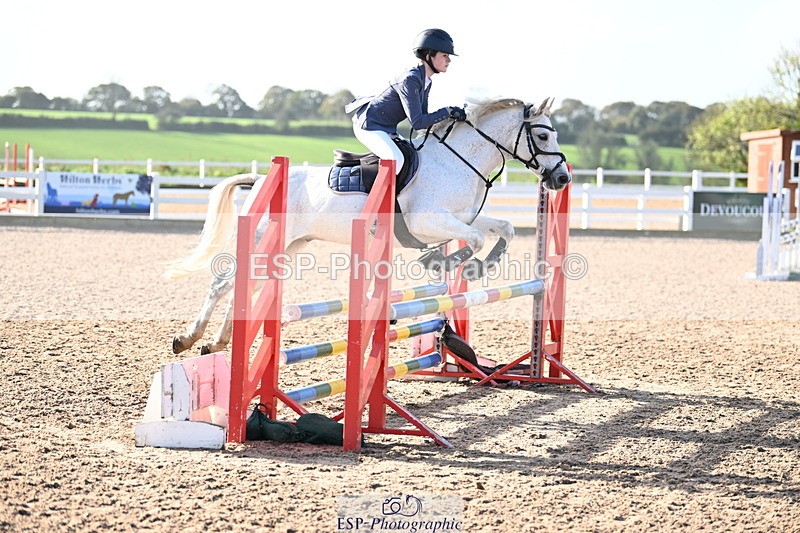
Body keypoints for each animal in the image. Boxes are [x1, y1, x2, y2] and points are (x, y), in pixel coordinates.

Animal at [165, 97, 570, 355]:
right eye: (543, 135)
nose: (563, 178)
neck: (459, 161)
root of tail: (263, 178)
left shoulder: (460, 217)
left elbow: (503, 228)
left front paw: (481, 263)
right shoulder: (429, 221)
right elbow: (472, 239)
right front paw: (447, 262)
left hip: (290, 245)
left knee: (244, 287)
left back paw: (215, 342)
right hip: (265, 238)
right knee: (224, 284)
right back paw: (188, 338)